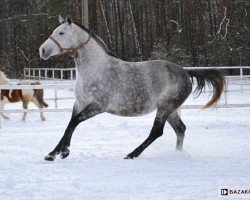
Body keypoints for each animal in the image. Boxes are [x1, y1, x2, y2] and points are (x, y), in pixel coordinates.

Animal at [39, 16, 227, 161]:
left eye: (61, 33)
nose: (42, 50)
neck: (96, 69)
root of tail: (185, 72)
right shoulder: (79, 103)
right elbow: (69, 124)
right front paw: (53, 153)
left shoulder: (98, 106)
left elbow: (74, 122)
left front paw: (64, 152)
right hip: (172, 110)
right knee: (180, 129)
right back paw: (177, 154)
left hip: (165, 107)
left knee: (157, 132)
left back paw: (131, 154)